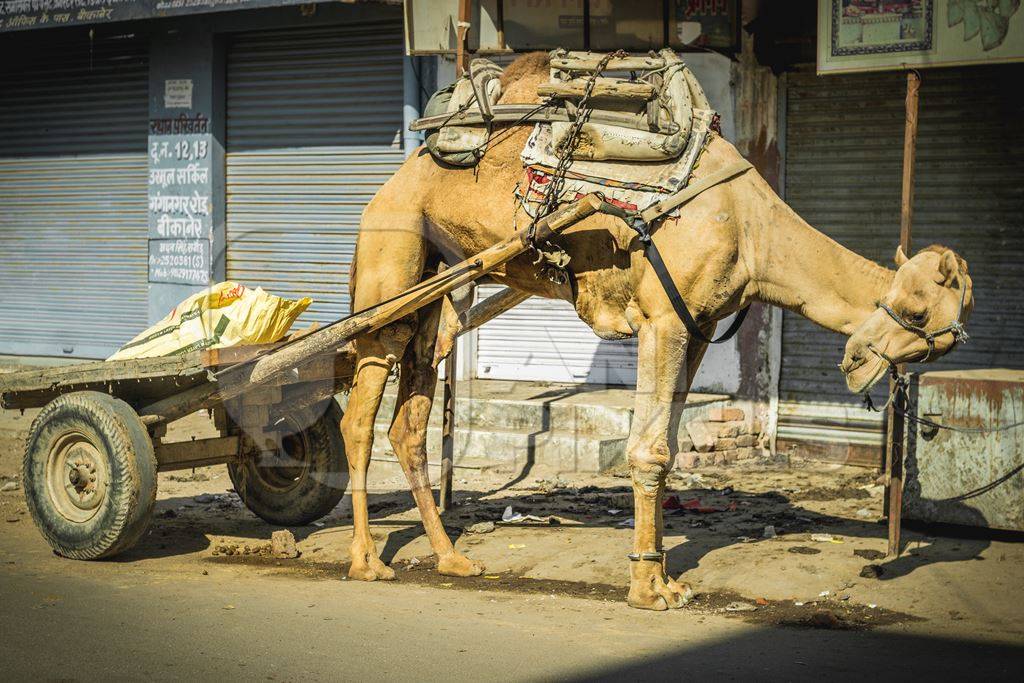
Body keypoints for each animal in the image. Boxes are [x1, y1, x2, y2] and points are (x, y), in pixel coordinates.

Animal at [339, 52, 970, 610]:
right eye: (918, 314)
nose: (856, 360)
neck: (752, 230)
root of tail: (393, 180)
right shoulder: (662, 320)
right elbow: (648, 449)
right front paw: (647, 590)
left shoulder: (700, 326)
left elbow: (667, 447)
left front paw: (666, 578)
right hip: (393, 254)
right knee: (360, 408)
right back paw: (367, 562)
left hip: (439, 285)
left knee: (410, 418)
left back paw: (452, 558)